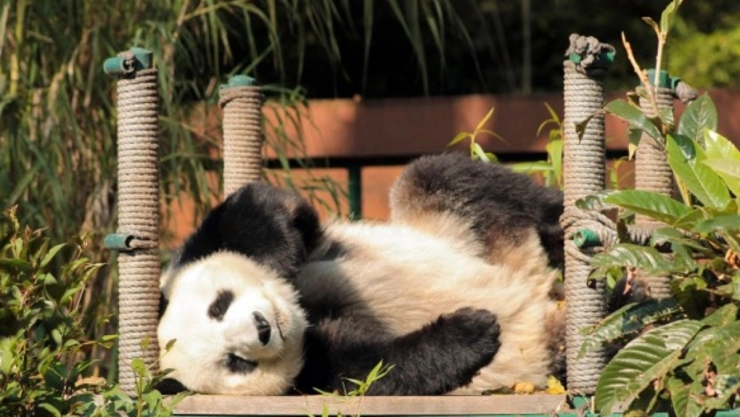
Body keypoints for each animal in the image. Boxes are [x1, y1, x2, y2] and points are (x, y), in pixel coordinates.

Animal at [157, 153, 566, 396]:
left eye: (219, 306)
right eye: (236, 363)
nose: (262, 328)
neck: (303, 315)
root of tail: (539, 286)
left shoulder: (196, 250)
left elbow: (263, 207)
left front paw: (282, 263)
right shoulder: (312, 372)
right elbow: (378, 369)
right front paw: (472, 331)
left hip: (460, 227)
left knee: (443, 177)